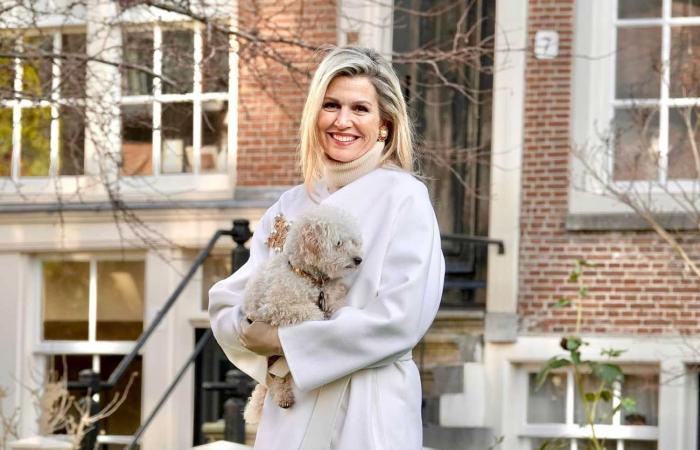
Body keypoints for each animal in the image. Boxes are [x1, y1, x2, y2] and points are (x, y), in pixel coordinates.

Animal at [242, 206, 364, 424]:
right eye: (338, 243)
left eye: (354, 241)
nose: (359, 259)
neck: (306, 274)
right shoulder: (276, 306)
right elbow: (308, 310)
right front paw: (319, 316)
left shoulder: (327, 291)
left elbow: (334, 298)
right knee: (273, 379)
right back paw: (283, 396)